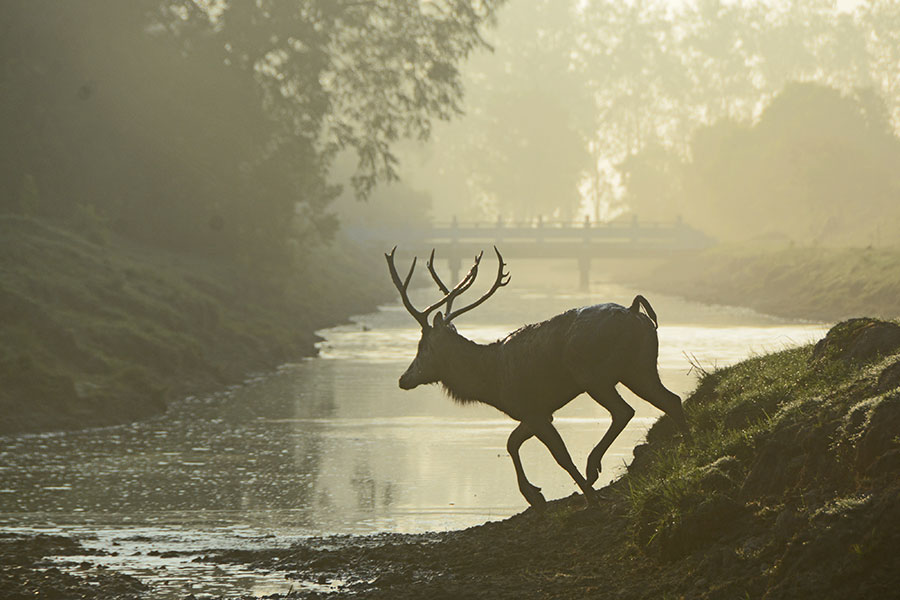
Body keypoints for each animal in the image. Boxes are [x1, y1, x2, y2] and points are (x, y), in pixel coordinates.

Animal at [384, 246, 684, 508]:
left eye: (423, 347)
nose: (403, 379)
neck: (491, 381)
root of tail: (635, 311)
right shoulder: (535, 411)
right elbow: (511, 442)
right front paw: (536, 496)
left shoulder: (533, 410)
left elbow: (559, 455)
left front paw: (584, 497)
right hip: (640, 367)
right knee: (672, 400)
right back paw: (685, 448)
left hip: (594, 375)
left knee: (624, 411)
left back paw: (592, 469)